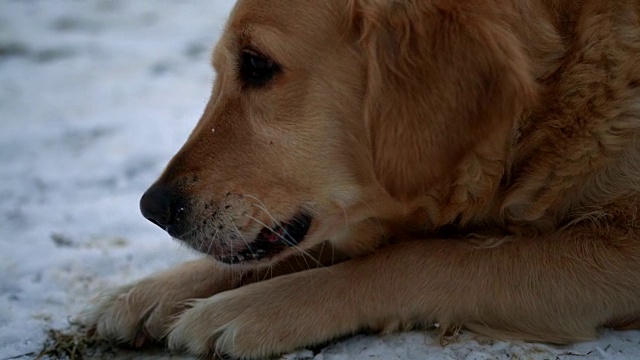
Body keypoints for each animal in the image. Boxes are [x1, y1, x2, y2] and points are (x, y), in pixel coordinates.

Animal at [84, 0, 640, 358]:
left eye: (258, 64)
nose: (152, 208)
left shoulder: (622, 253)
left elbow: (426, 258)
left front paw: (250, 309)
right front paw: (152, 292)